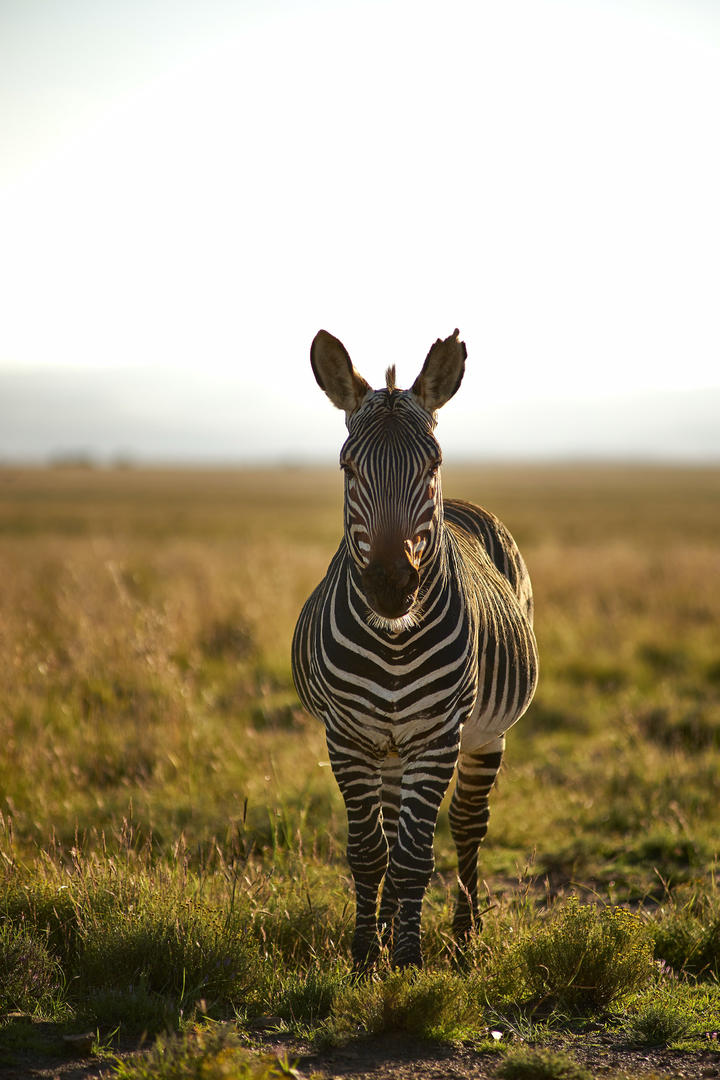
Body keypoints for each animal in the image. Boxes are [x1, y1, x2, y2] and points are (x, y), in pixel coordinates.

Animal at [289, 328, 537, 972]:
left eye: (433, 463)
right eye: (348, 466)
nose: (390, 586)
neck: (394, 640)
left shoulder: (439, 735)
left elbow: (412, 857)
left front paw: (406, 959)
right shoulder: (347, 737)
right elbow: (369, 852)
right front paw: (364, 953)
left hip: (482, 736)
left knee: (468, 824)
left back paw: (464, 933)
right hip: (388, 747)